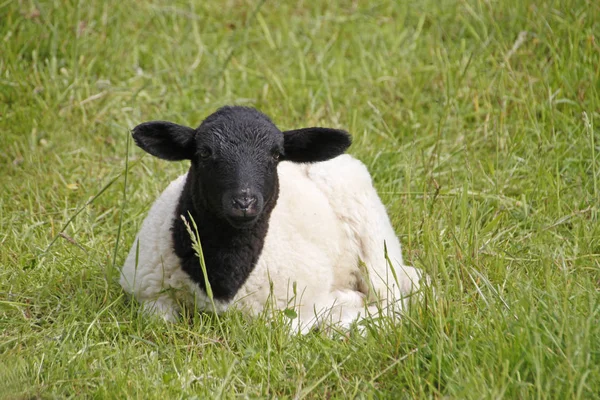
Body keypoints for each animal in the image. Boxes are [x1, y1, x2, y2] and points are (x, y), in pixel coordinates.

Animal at [118, 105, 426, 332]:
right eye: (203, 153)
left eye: (276, 154)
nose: (244, 202)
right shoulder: (147, 294)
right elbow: (160, 320)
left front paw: (343, 307)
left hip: (375, 243)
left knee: (397, 300)